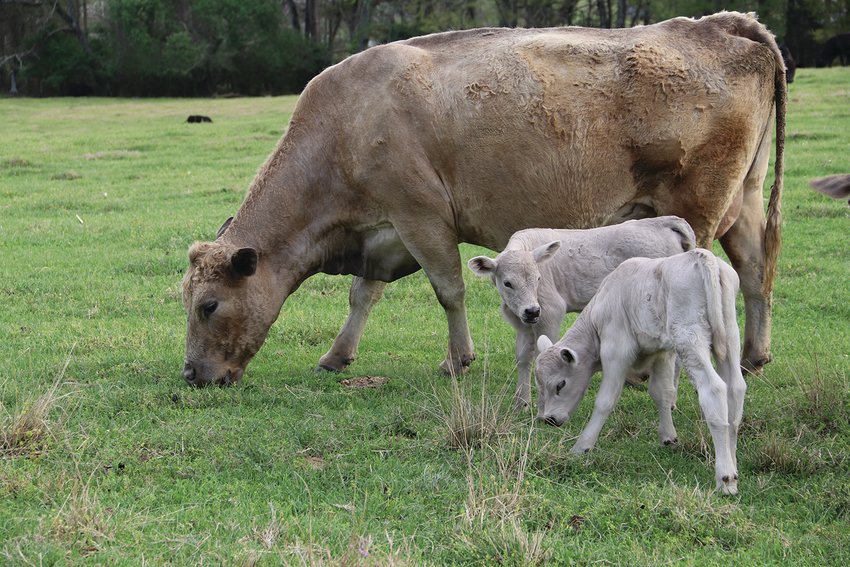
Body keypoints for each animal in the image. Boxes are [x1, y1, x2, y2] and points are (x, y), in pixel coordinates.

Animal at [464, 216, 696, 408]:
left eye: (538, 279)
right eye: (508, 283)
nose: (532, 311)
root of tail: (664, 221)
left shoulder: (550, 311)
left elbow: (541, 353)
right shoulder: (522, 322)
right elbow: (523, 358)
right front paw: (521, 402)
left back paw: (671, 401)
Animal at [536, 251, 744, 494]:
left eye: (560, 385)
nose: (549, 419)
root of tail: (702, 256)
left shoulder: (616, 350)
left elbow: (605, 401)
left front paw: (582, 446)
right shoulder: (662, 352)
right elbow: (662, 393)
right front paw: (668, 438)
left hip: (689, 338)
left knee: (714, 389)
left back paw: (725, 477)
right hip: (730, 336)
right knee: (735, 390)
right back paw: (733, 465)